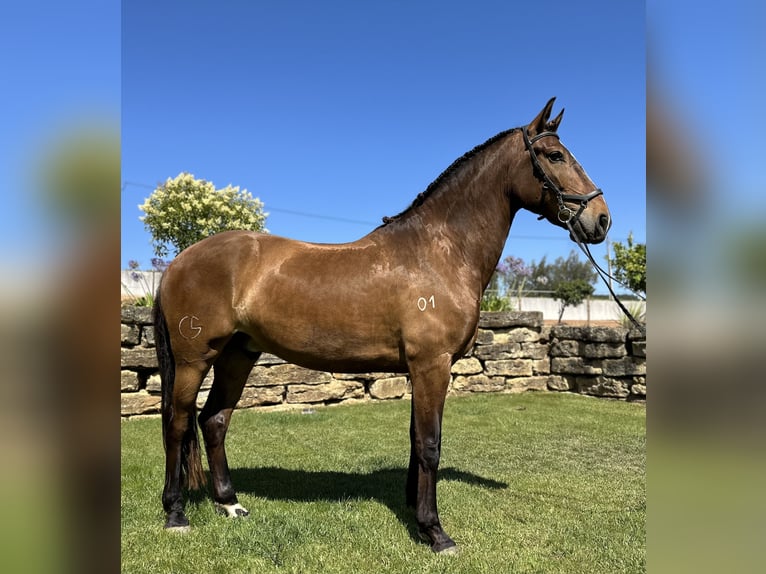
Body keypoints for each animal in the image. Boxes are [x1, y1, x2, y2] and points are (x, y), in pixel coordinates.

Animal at [154, 98, 612, 552]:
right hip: (195, 358)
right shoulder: (432, 365)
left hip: (238, 354)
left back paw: (229, 504)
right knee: (177, 422)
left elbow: (415, 440)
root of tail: (180, 260)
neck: (439, 252)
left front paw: (415, 510)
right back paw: (175, 514)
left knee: (214, 420)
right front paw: (435, 531)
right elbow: (430, 444)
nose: (601, 218)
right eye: (554, 155)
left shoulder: (419, 369)